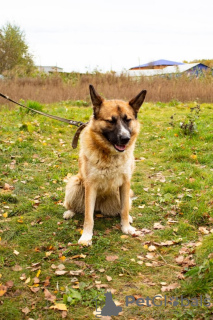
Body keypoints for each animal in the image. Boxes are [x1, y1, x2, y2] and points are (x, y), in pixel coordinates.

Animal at [63, 85, 146, 245]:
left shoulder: (125, 183)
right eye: (111, 121)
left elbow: (124, 209)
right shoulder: (90, 186)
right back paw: (69, 212)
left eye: (128, 120)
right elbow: (88, 217)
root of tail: (99, 206)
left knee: (123, 208)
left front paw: (126, 227)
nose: (125, 138)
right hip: (75, 183)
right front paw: (86, 236)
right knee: (75, 207)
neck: (110, 155)